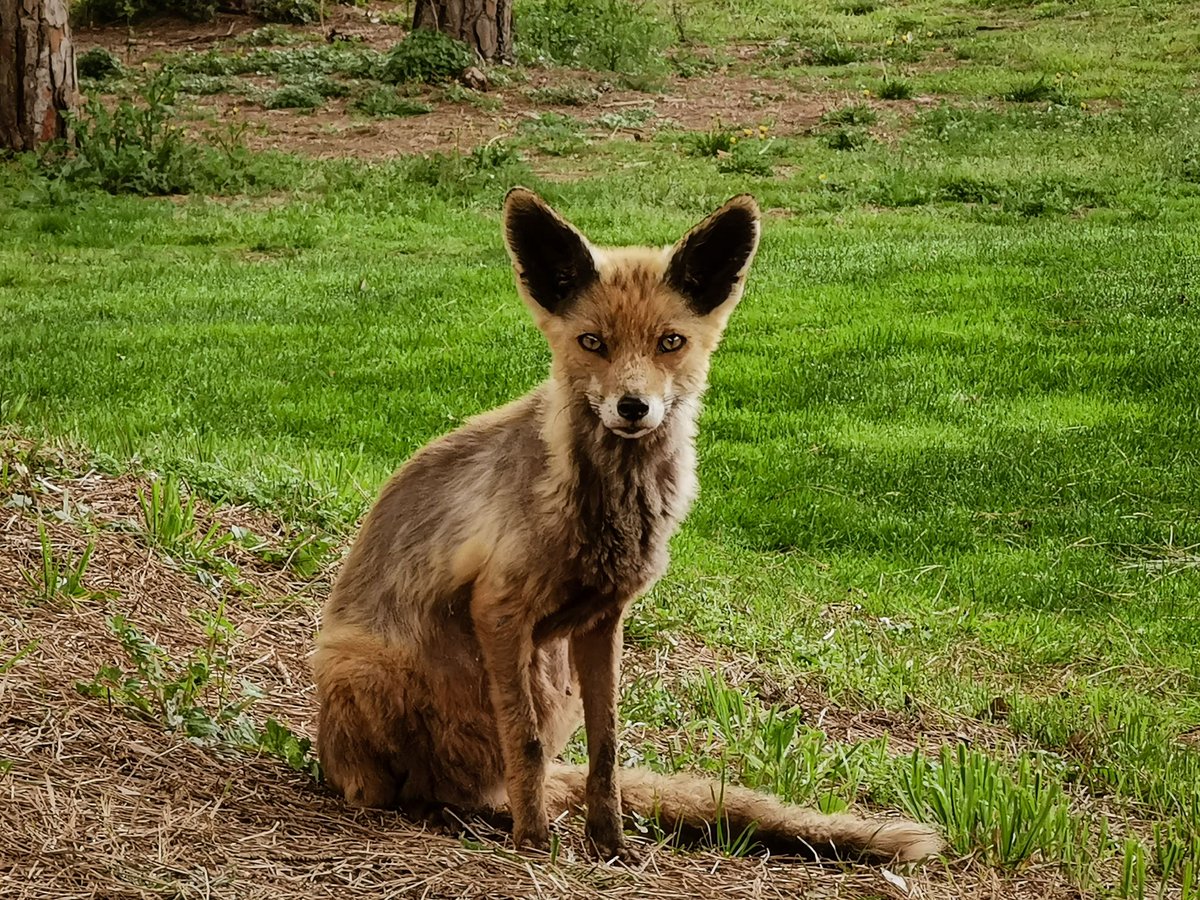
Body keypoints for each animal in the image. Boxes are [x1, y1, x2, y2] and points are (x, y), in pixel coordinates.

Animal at [312, 187, 943, 865]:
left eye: (669, 341)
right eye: (593, 342)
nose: (633, 407)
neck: (608, 510)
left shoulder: (603, 618)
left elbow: (607, 751)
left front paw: (609, 844)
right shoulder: (500, 611)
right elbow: (524, 745)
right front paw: (534, 845)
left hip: (553, 677)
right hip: (372, 671)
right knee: (399, 787)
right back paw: (437, 808)